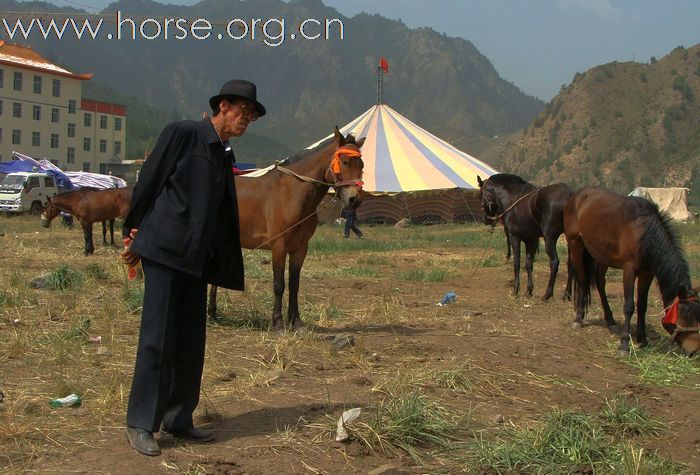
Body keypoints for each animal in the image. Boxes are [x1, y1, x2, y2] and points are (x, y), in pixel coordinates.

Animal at [208, 128, 366, 332]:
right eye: (344, 161)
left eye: (362, 164)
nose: (355, 200)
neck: (292, 193)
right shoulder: (279, 246)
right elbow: (279, 284)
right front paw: (278, 322)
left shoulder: (300, 248)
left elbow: (294, 284)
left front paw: (296, 321)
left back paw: (212, 313)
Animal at [564, 186, 700, 356]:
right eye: (684, 315)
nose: (694, 350)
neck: (643, 233)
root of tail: (576, 196)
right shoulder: (629, 270)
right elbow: (629, 306)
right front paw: (624, 344)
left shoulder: (647, 273)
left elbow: (642, 305)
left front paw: (643, 339)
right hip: (575, 245)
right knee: (583, 280)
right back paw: (578, 319)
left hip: (602, 255)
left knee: (600, 283)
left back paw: (610, 321)